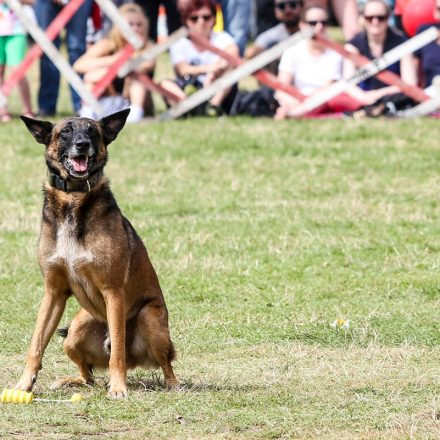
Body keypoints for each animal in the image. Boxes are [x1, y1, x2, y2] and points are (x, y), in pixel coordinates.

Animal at [14, 110, 179, 398]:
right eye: (65, 132)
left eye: (92, 131)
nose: (82, 145)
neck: (74, 198)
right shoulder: (53, 293)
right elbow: (35, 344)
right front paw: (23, 385)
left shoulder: (113, 291)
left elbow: (118, 356)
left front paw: (118, 388)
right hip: (75, 332)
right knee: (88, 375)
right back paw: (71, 381)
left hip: (150, 318)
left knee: (164, 363)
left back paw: (172, 384)